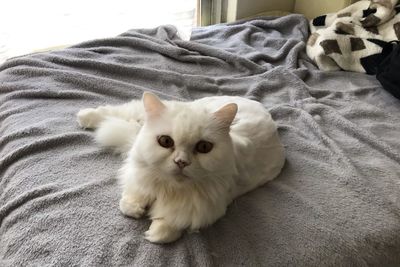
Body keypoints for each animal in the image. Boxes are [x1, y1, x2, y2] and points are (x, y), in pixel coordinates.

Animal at [77, 92, 284, 245]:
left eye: (204, 147)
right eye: (165, 141)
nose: (181, 162)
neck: (169, 188)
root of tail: (255, 102)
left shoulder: (205, 209)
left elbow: (168, 227)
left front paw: (154, 232)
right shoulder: (138, 175)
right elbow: (129, 201)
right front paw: (136, 209)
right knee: (118, 110)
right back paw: (84, 116)